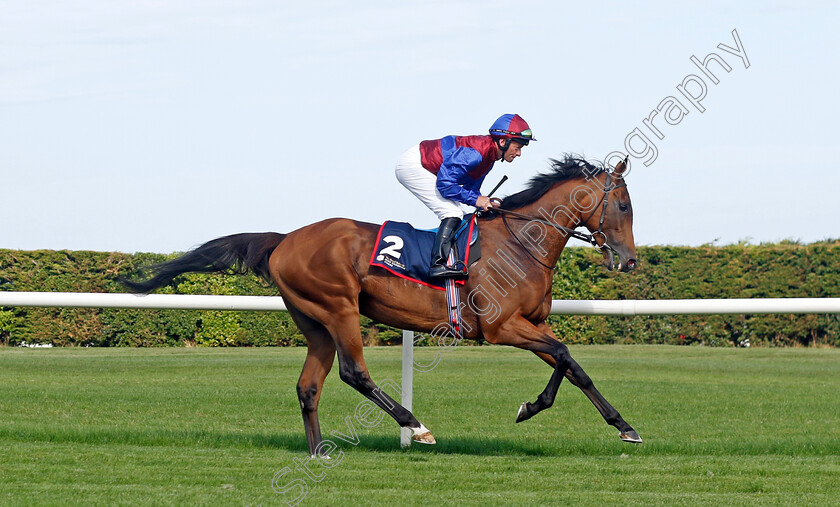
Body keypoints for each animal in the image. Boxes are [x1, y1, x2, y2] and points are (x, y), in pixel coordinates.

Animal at [121, 155, 640, 456]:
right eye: (624, 205)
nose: (630, 260)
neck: (519, 242)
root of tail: (284, 238)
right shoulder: (502, 328)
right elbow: (566, 355)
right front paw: (536, 408)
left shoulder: (530, 323)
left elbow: (571, 365)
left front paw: (619, 425)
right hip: (339, 309)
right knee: (354, 373)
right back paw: (417, 426)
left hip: (313, 321)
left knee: (309, 385)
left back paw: (318, 450)